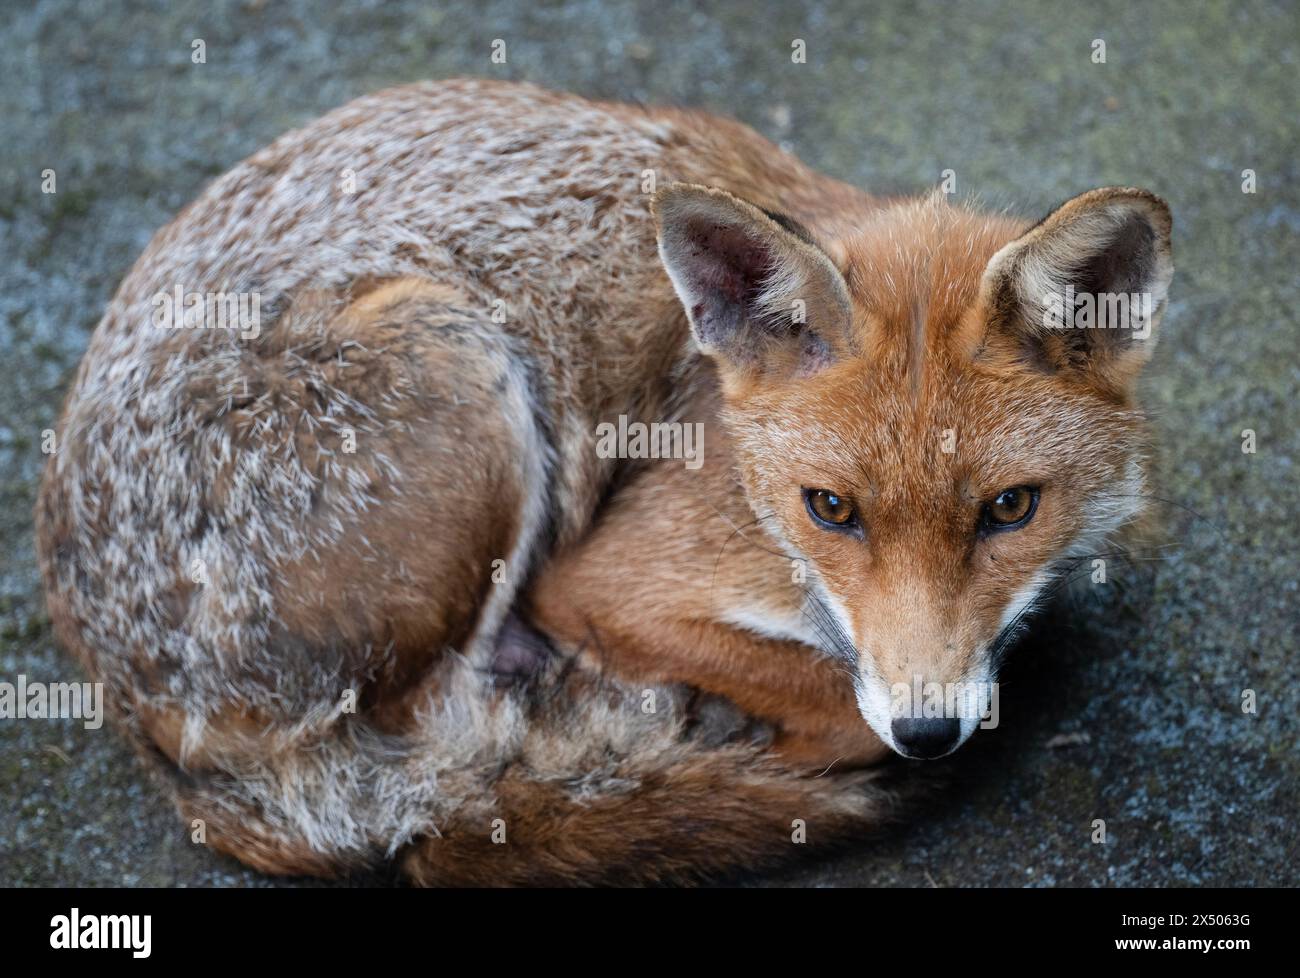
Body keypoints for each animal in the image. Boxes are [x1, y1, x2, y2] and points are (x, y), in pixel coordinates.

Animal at [38, 78, 1180, 884]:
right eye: (830, 511)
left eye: (1009, 510)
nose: (929, 729)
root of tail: (134, 711)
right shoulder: (602, 579)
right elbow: (838, 701)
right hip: (460, 359)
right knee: (450, 757)